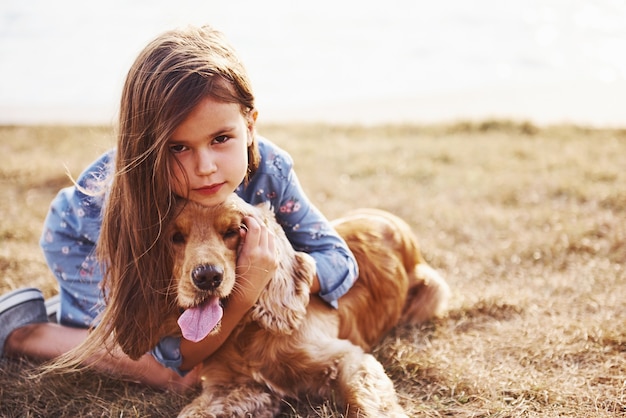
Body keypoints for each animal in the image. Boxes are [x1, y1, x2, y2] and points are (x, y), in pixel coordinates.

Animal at [167, 194, 448, 416]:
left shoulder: (349, 359)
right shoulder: (236, 386)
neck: (247, 331)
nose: (207, 277)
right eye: (176, 237)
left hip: (433, 290)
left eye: (232, 231)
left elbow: (362, 401)